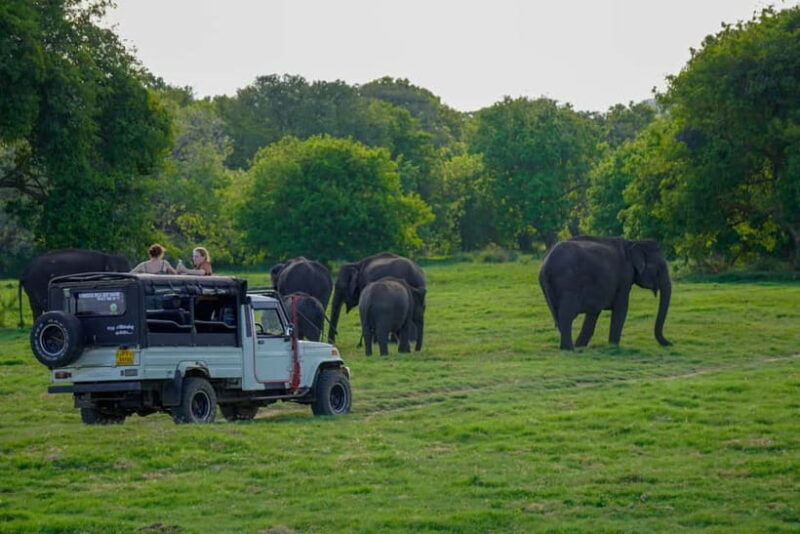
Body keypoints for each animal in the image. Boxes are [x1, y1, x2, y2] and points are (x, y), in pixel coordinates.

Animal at [538, 236, 672, 351]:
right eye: (659, 268)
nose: (670, 343)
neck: (631, 243)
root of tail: (547, 265)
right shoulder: (624, 278)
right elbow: (622, 309)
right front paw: (613, 346)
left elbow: (594, 312)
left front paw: (581, 345)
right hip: (568, 283)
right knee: (566, 315)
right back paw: (570, 349)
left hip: (547, 288)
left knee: (558, 316)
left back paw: (568, 347)